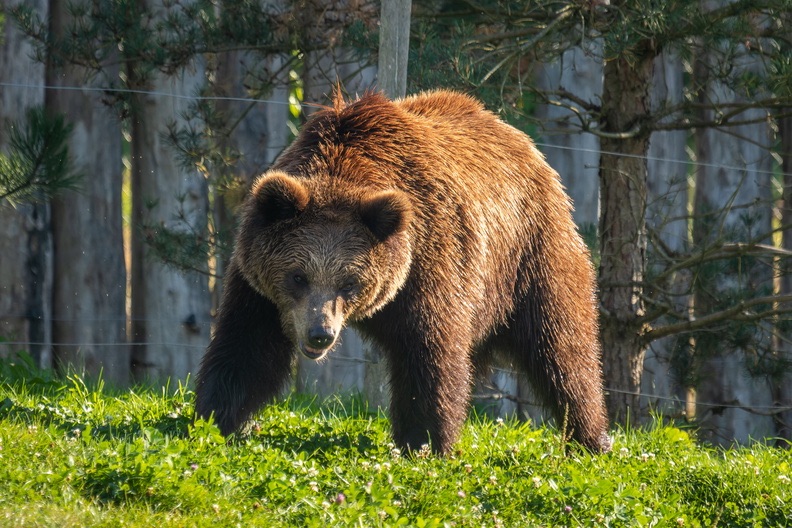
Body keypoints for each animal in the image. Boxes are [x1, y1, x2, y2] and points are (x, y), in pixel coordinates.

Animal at [194, 89, 611, 454]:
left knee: (563, 348)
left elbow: (428, 354)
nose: (320, 334)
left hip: (529, 258)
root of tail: (527, 147)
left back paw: (591, 438)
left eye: (349, 282)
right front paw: (214, 418)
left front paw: (425, 441)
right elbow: (247, 346)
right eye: (298, 275)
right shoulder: (261, 289)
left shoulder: (427, 267)